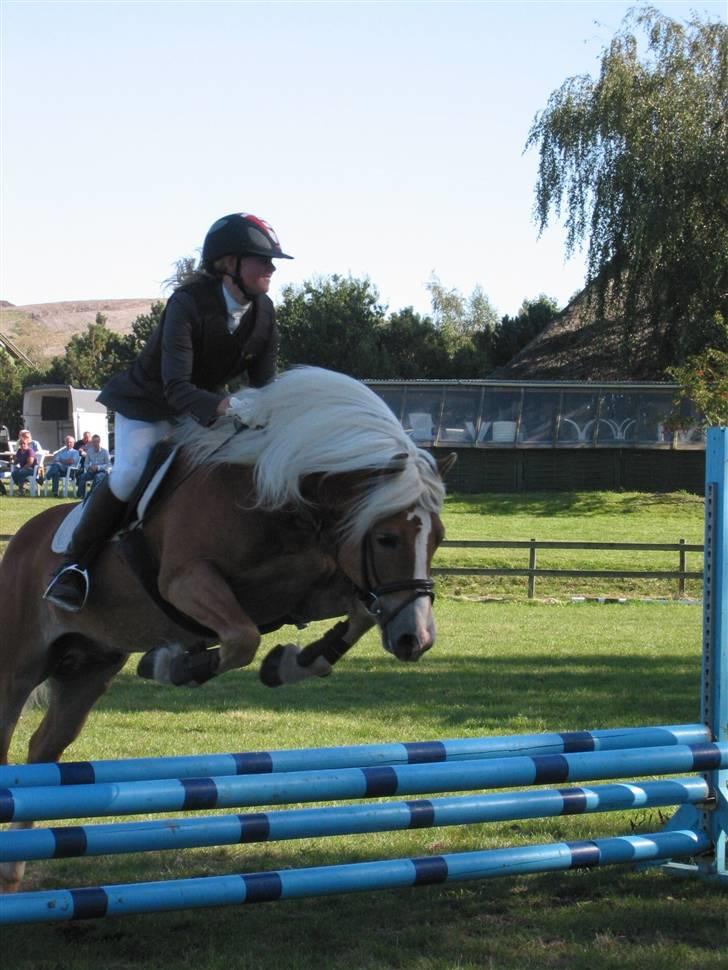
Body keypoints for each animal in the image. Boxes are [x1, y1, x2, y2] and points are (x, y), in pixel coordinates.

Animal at [1, 366, 456, 888]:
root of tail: (21, 543)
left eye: (438, 538)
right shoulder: (186, 581)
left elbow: (357, 613)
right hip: (18, 666)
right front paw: (172, 665)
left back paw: (13, 868)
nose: (416, 640)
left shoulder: (306, 590)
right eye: (386, 538)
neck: (277, 501)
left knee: (43, 750)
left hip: (88, 668)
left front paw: (294, 663)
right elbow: (242, 639)